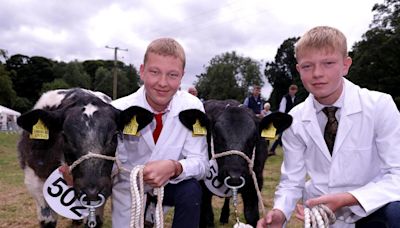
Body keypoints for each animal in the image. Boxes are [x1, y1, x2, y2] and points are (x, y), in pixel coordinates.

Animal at [199, 99, 290, 227]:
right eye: (215, 135)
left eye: (255, 137)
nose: (234, 175)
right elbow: (207, 216)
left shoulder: (256, 182)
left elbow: (251, 215)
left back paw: (224, 216)